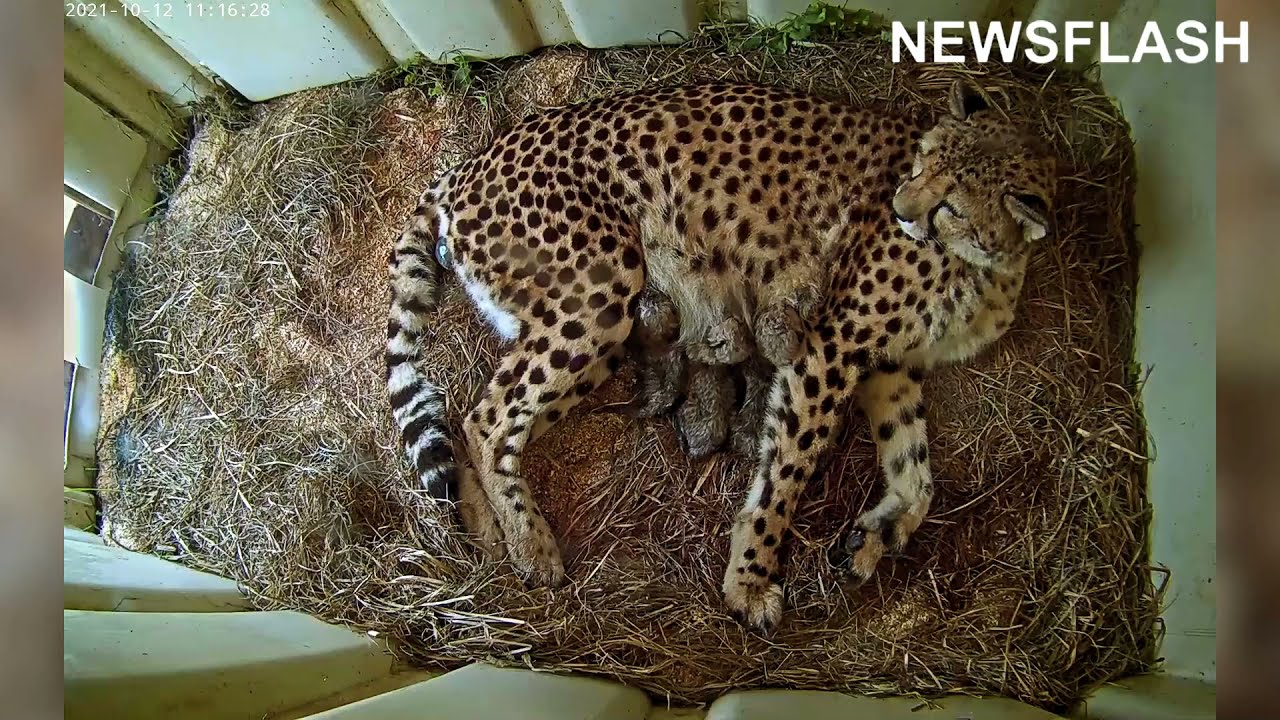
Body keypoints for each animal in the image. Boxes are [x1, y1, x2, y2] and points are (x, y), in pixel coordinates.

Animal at [385, 79, 1056, 632]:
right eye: (919, 166)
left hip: (599, 326)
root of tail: (471, 161)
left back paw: (485, 532)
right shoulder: (833, 346)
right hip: (601, 292)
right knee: (488, 418)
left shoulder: (890, 365)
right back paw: (531, 547)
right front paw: (750, 579)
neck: (994, 263)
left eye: (951, 204)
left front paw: (876, 535)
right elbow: (788, 469)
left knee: (477, 421)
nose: (900, 209)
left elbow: (917, 473)